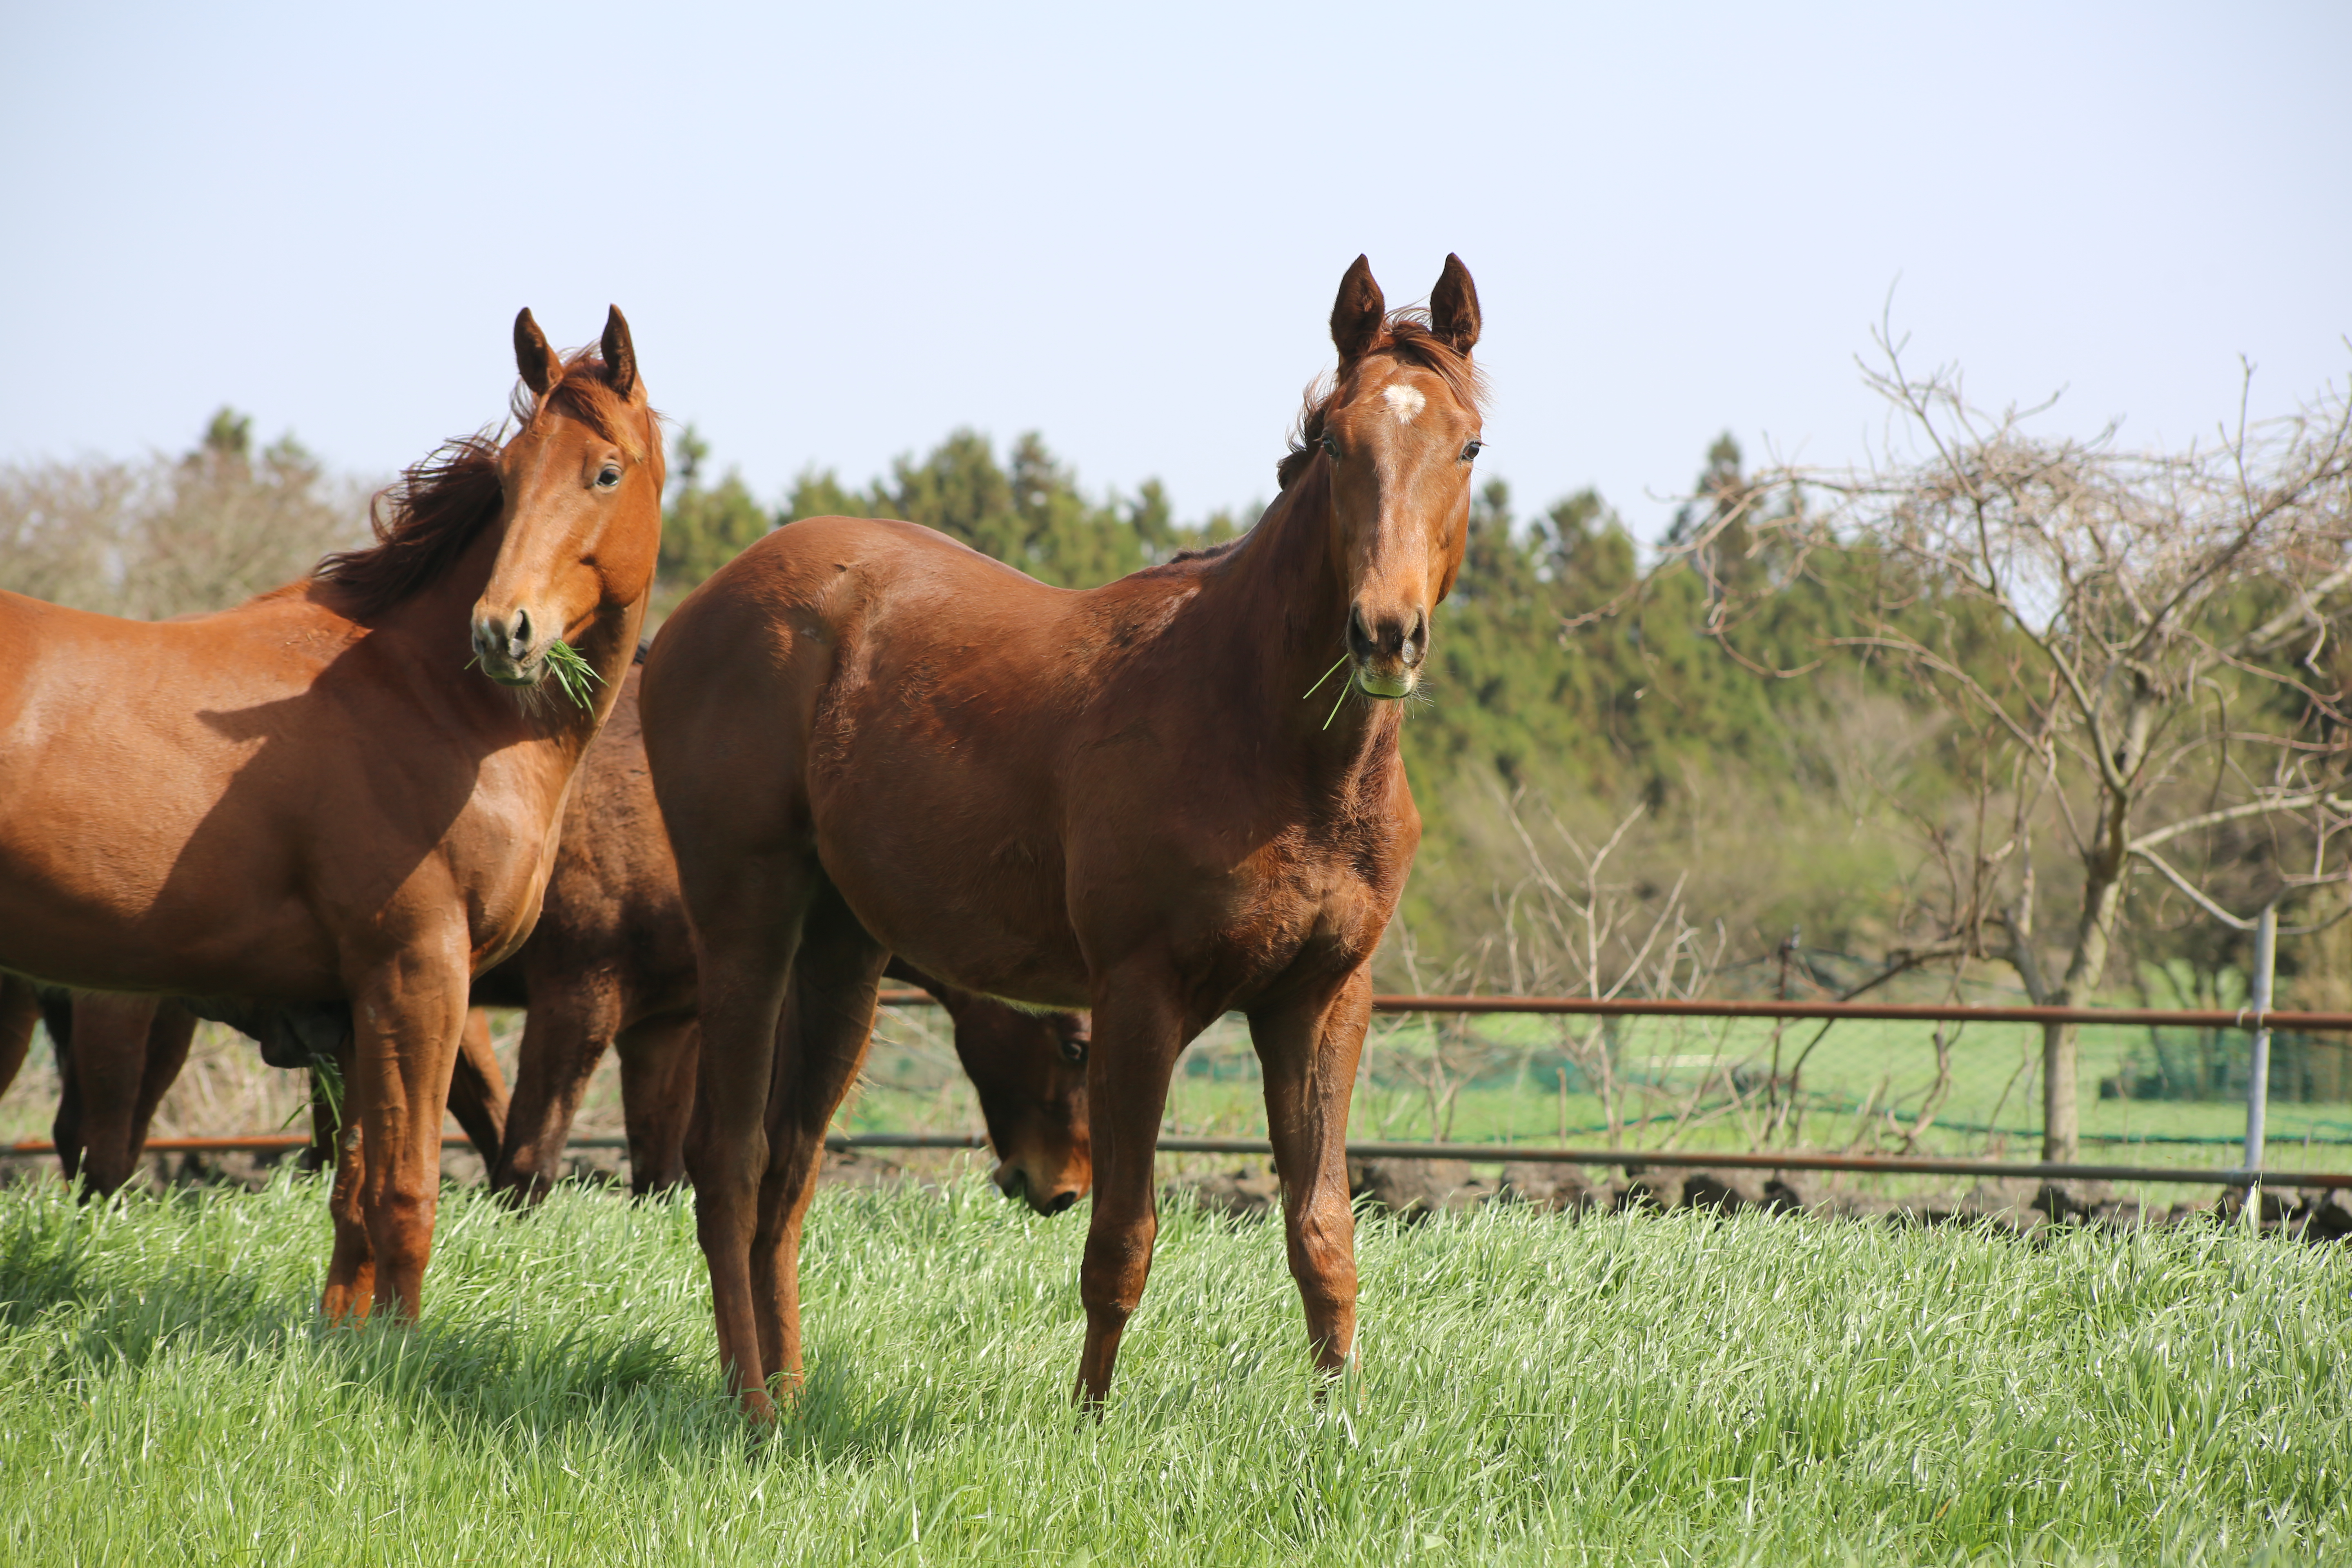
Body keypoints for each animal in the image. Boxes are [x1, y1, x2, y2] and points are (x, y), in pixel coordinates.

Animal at [2, 312, 663, 1316]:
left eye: (606, 472)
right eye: (512, 479)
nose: (500, 631)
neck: (427, 698)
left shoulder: (355, 1013)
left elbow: (354, 1196)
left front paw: (351, 1336)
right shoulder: (418, 977)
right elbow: (406, 1191)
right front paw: (405, 1347)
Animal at [639, 255, 1486, 1410]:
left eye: (1467, 446)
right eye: (1332, 444)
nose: (1384, 634)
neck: (1269, 741)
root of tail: (693, 613)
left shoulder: (1319, 1002)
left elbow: (1322, 1234)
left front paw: (1335, 1421)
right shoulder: (1137, 999)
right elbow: (1121, 1238)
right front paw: (1090, 1421)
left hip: (842, 955)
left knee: (787, 1168)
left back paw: (794, 1388)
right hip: (747, 924)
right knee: (725, 1161)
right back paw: (755, 1406)